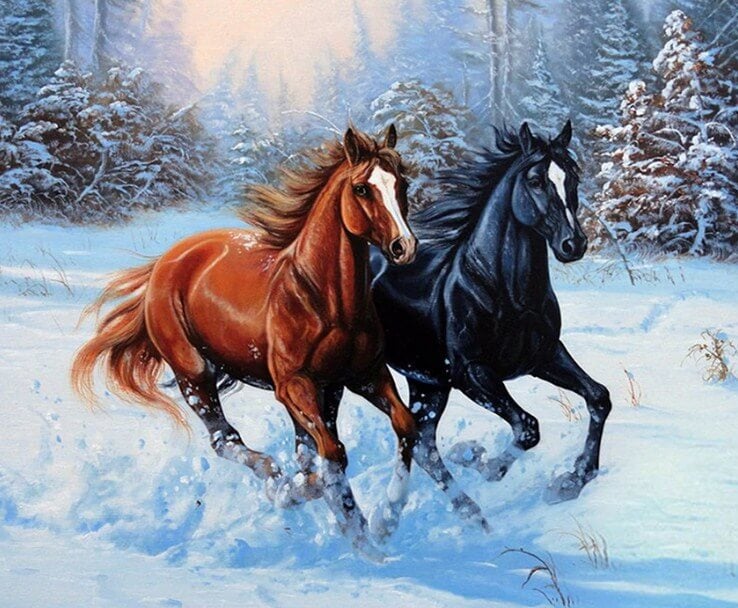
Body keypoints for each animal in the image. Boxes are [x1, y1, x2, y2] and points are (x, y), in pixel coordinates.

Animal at [71, 125, 419, 560]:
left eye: (402, 184)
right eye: (362, 189)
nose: (404, 247)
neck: (325, 298)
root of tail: (165, 263)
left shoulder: (362, 377)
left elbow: (402, 427)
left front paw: (385, 523)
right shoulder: (293, 385)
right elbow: (332, 456)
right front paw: (353, 531)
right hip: (194, 375)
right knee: (226, 439)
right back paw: (276, 480)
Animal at [370, 121, 612, 523]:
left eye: (573, 176)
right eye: (535, 180)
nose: (573, 244)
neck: (507, 292)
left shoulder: (546, 356)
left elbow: (599, 398)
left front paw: (570, 482)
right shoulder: (473, 373)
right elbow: (528, 428)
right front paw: (484, 463)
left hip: (428, 382)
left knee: (422, 442)